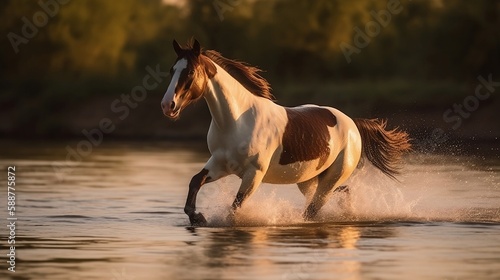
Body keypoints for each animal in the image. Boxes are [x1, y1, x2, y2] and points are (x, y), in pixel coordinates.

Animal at [160, 39, 410, 226]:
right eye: (172, 70)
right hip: (310, 180)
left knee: (312, 211)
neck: (237, 122)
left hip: (330, 179)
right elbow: (195, 182)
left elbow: (235, 209)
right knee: (340, 192)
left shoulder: (254, 173)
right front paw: (198, 218)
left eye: (190, 71)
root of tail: (353, 125)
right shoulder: (220, 164)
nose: (167, 105)